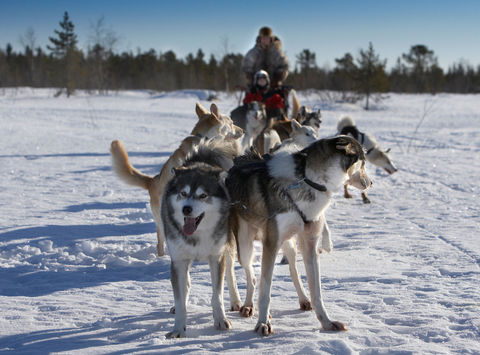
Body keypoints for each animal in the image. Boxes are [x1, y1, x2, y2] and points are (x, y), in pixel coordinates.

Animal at [226, 136, 372, 336]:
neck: (309, 180)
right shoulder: (271, 244)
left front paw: (326, 323)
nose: (371, 183)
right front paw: (263, 323)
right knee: (252, 277)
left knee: (293, 269)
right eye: (363, 162)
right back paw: (248, 306)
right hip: (245, 245)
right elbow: (265, 290)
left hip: (289, 244)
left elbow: (316, 291)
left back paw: (303, 299)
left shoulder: (309, 244)